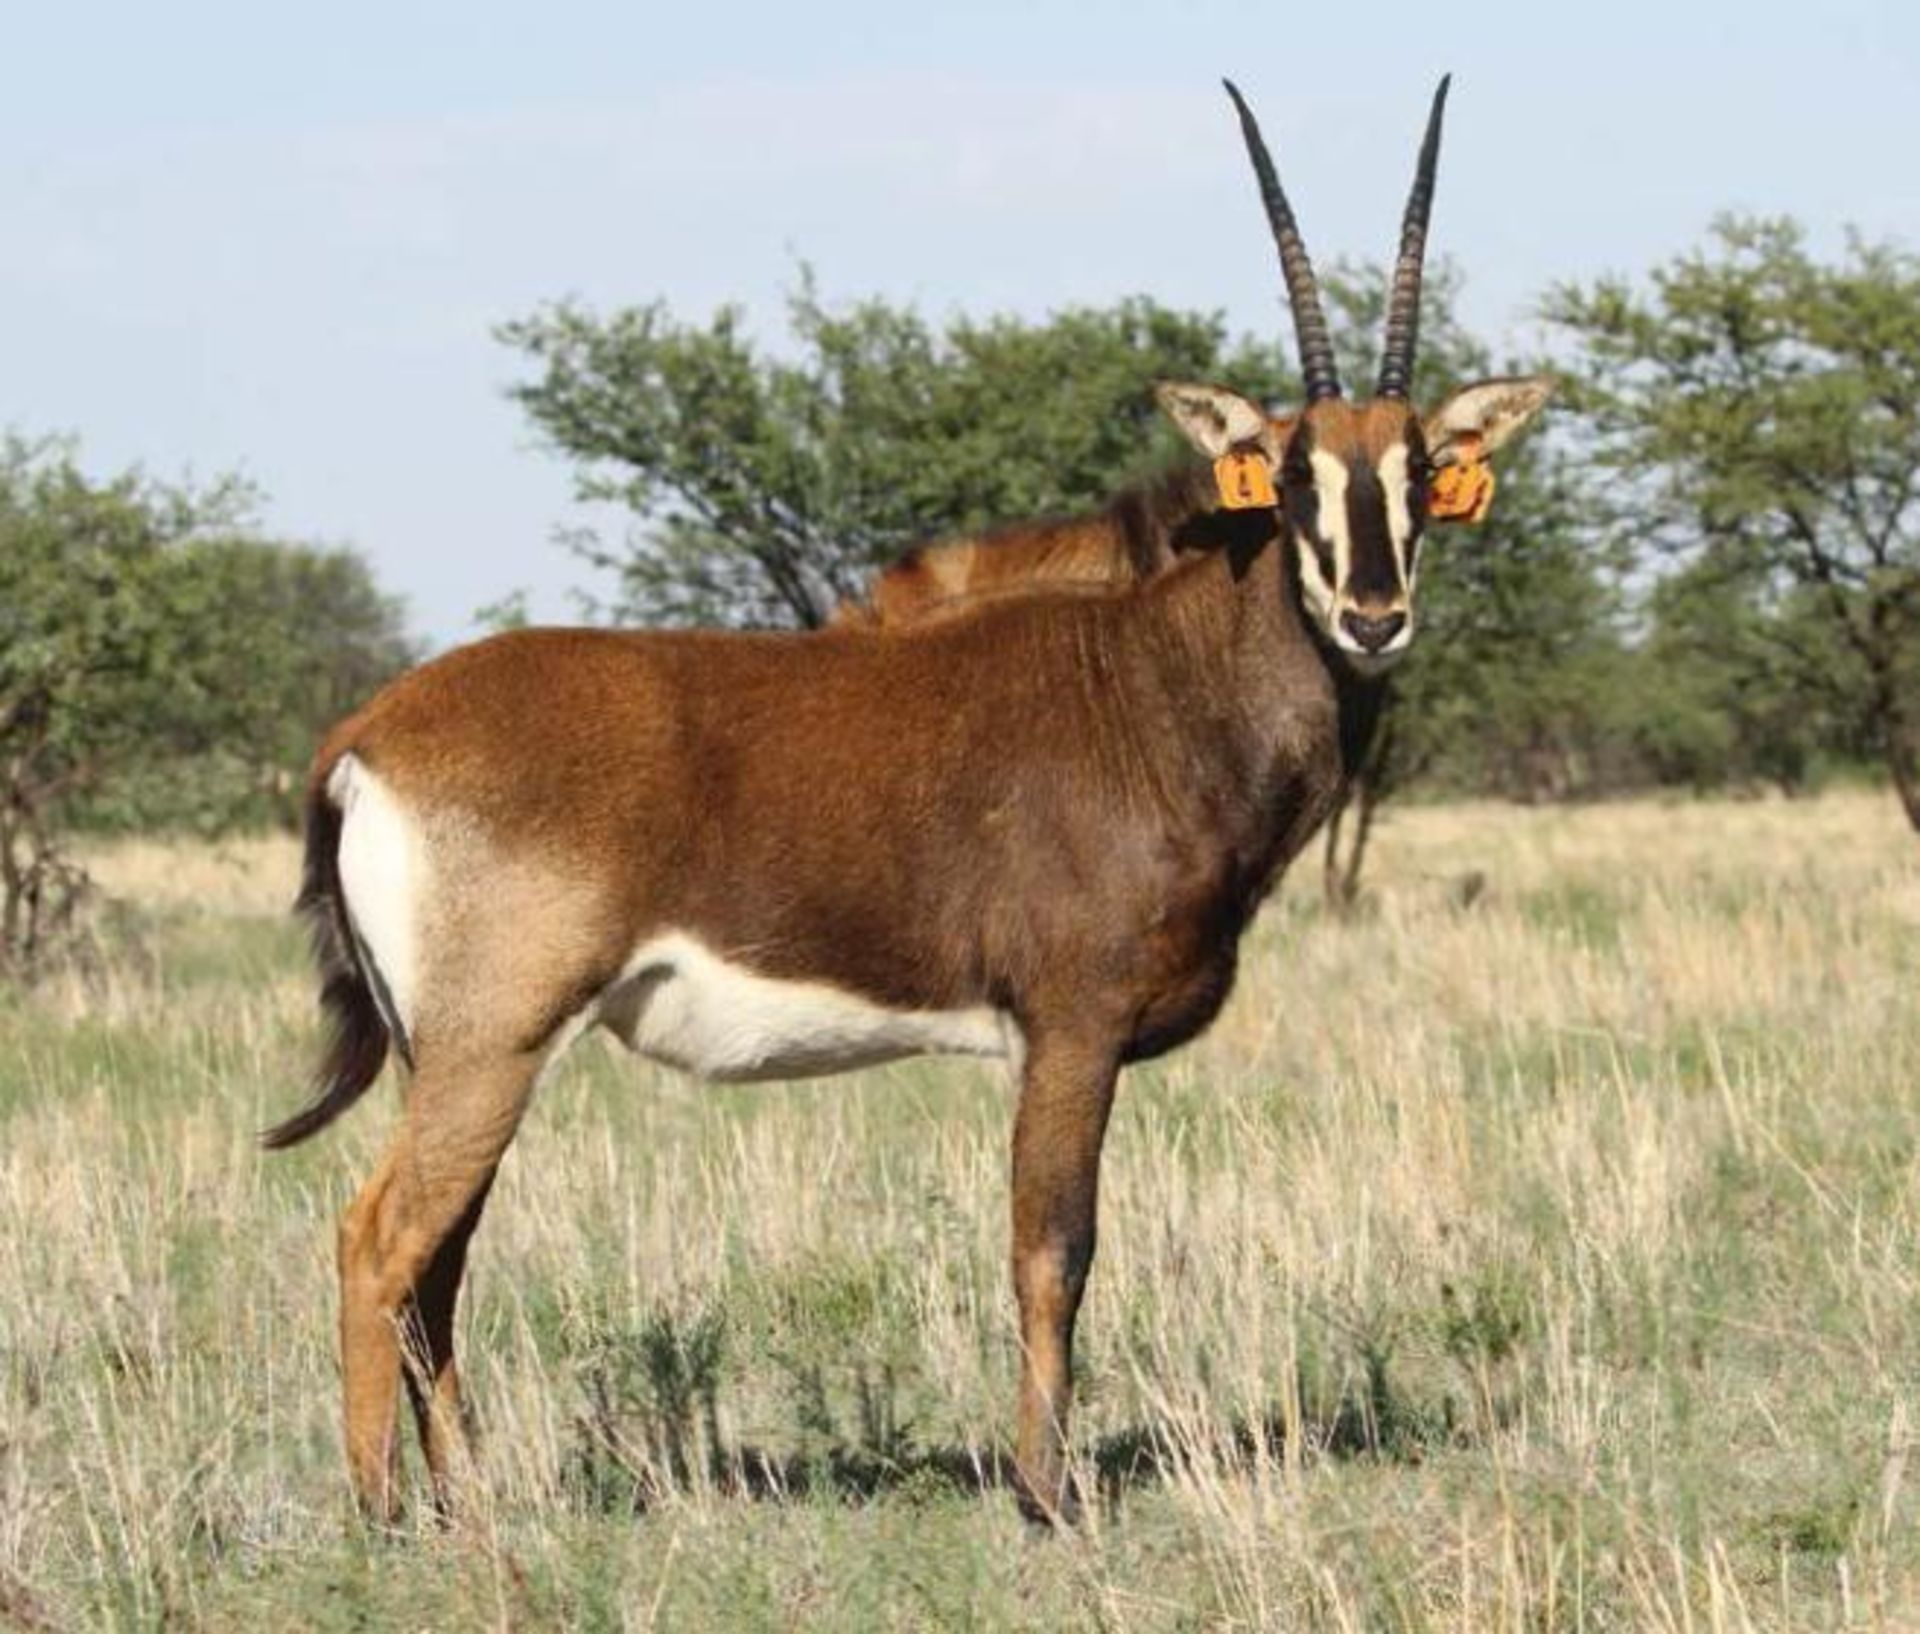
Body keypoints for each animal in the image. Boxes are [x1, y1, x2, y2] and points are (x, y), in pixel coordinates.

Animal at [266, 79, 1543, 1536]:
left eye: (1420, 473)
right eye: (1290, 475)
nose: (1373, 616)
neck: (1152, 679)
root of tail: (366, 735)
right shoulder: (1072, 1028)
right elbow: (1054, 1245)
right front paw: (1048, 1494)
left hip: (465, 1056)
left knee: (437, 1259)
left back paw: (468, 1503)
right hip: (493, 1041)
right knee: (380, 1240)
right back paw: (382, 1516)